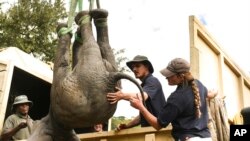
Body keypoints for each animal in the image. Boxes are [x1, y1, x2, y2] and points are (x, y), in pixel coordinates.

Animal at [26, 9, 145, 141]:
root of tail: (110, 77)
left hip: (86, 73)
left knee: (66, 61)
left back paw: (74, 22)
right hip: (104, 68)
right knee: (103, 48)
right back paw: (99, 16)